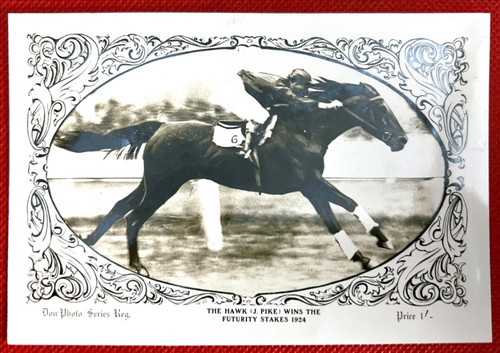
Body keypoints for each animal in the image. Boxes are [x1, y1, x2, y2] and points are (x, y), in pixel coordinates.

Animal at [53, 80, 406, 276]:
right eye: (380, 110)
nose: (401, 140)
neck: (304, 131)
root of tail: (161, 126)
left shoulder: (313, 185)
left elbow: (344, 208)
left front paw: (375, 244)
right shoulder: (310, 184)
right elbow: (339, 212)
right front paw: (369, 249)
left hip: (151, 183)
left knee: (119, 206)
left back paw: (90, 242)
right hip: (163, 186)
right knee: (133, 218)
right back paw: (137, 265)